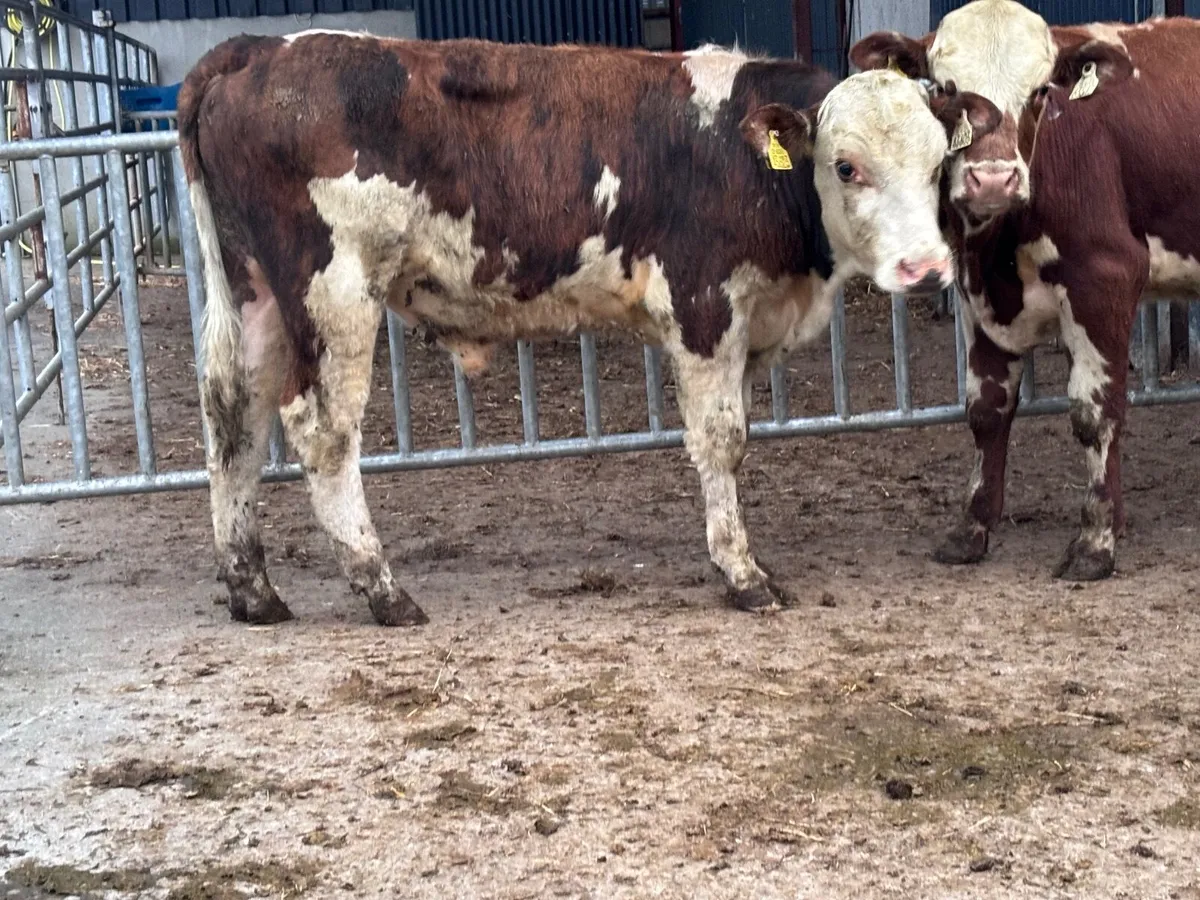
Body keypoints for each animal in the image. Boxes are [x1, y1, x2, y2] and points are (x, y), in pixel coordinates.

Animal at [178, 32, 999, 626]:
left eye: (938, 166)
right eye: (847, 166)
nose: (926, 269)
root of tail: (257, 49)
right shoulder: (703, 307)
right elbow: (722, 440)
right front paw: (742, 573)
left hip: (255, 294)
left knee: (234, 417)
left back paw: (252, 590)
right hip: (334, 293)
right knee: (323, 432)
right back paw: (382, 589)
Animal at [854, 2, 1198, 581]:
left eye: (1039, 91)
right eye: (945, 88)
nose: (993, 180)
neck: (997, 247)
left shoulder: (1105, 278)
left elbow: (1094, 413)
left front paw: (1096, 542)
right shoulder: (977, 296)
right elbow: (986, 411)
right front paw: (971, 530)